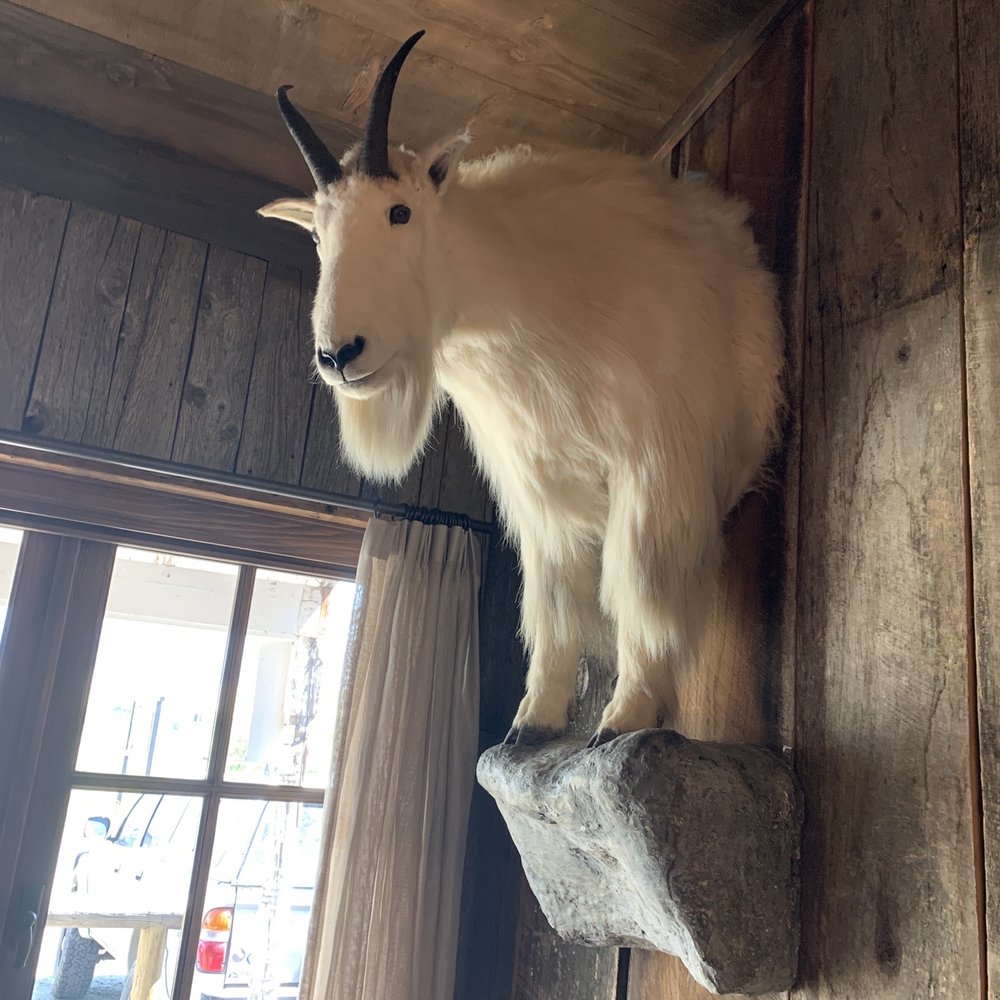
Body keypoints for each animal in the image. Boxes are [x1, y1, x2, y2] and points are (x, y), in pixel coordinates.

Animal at [259, 31, 784, 747]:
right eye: (316, 233)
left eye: (400, 211)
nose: (340, 355)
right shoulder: (541, 493)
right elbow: (554, 601)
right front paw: (533, 718)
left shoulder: (655, 473)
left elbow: (641, 587)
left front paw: (625, 717)